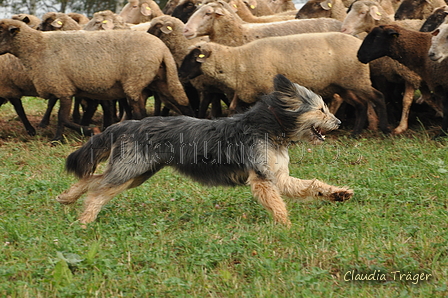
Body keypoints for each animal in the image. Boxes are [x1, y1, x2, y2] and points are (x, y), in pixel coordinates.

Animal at [0, 19, 191, 141]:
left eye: (0, 33)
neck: (36, 47)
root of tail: (163, 48)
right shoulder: (64, 88)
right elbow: (63, 118)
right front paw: (59, 138)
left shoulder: (63, 87)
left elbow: (63, 118)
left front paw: (88, 131)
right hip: (159, 80)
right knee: (181, 102)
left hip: (135, 81)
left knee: (140, 114)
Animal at [57, 74, 354, 226]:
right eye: (322, 109)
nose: (339, 122)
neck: (269, 126)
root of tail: (128, 123)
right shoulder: (262, 178)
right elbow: (277, 204)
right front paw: (286, 227)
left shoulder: (278, 176)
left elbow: (311, 185)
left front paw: (337, 193)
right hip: (131, 169)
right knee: (97, 190)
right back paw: (84, 220)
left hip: (137, 173)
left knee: (93, 180)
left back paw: (67, 198)